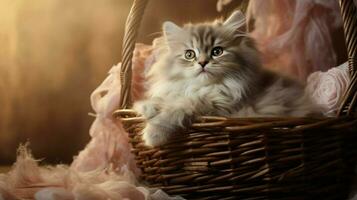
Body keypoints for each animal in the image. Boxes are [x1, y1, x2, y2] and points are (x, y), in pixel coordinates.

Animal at [134, 10, 320, 147]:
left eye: (217, 51)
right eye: (189, 55)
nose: (203, 63)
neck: (207, 88)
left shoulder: (220, 108)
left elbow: (179, 107)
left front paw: (153, 134)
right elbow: (168, 98)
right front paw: (146, 106)